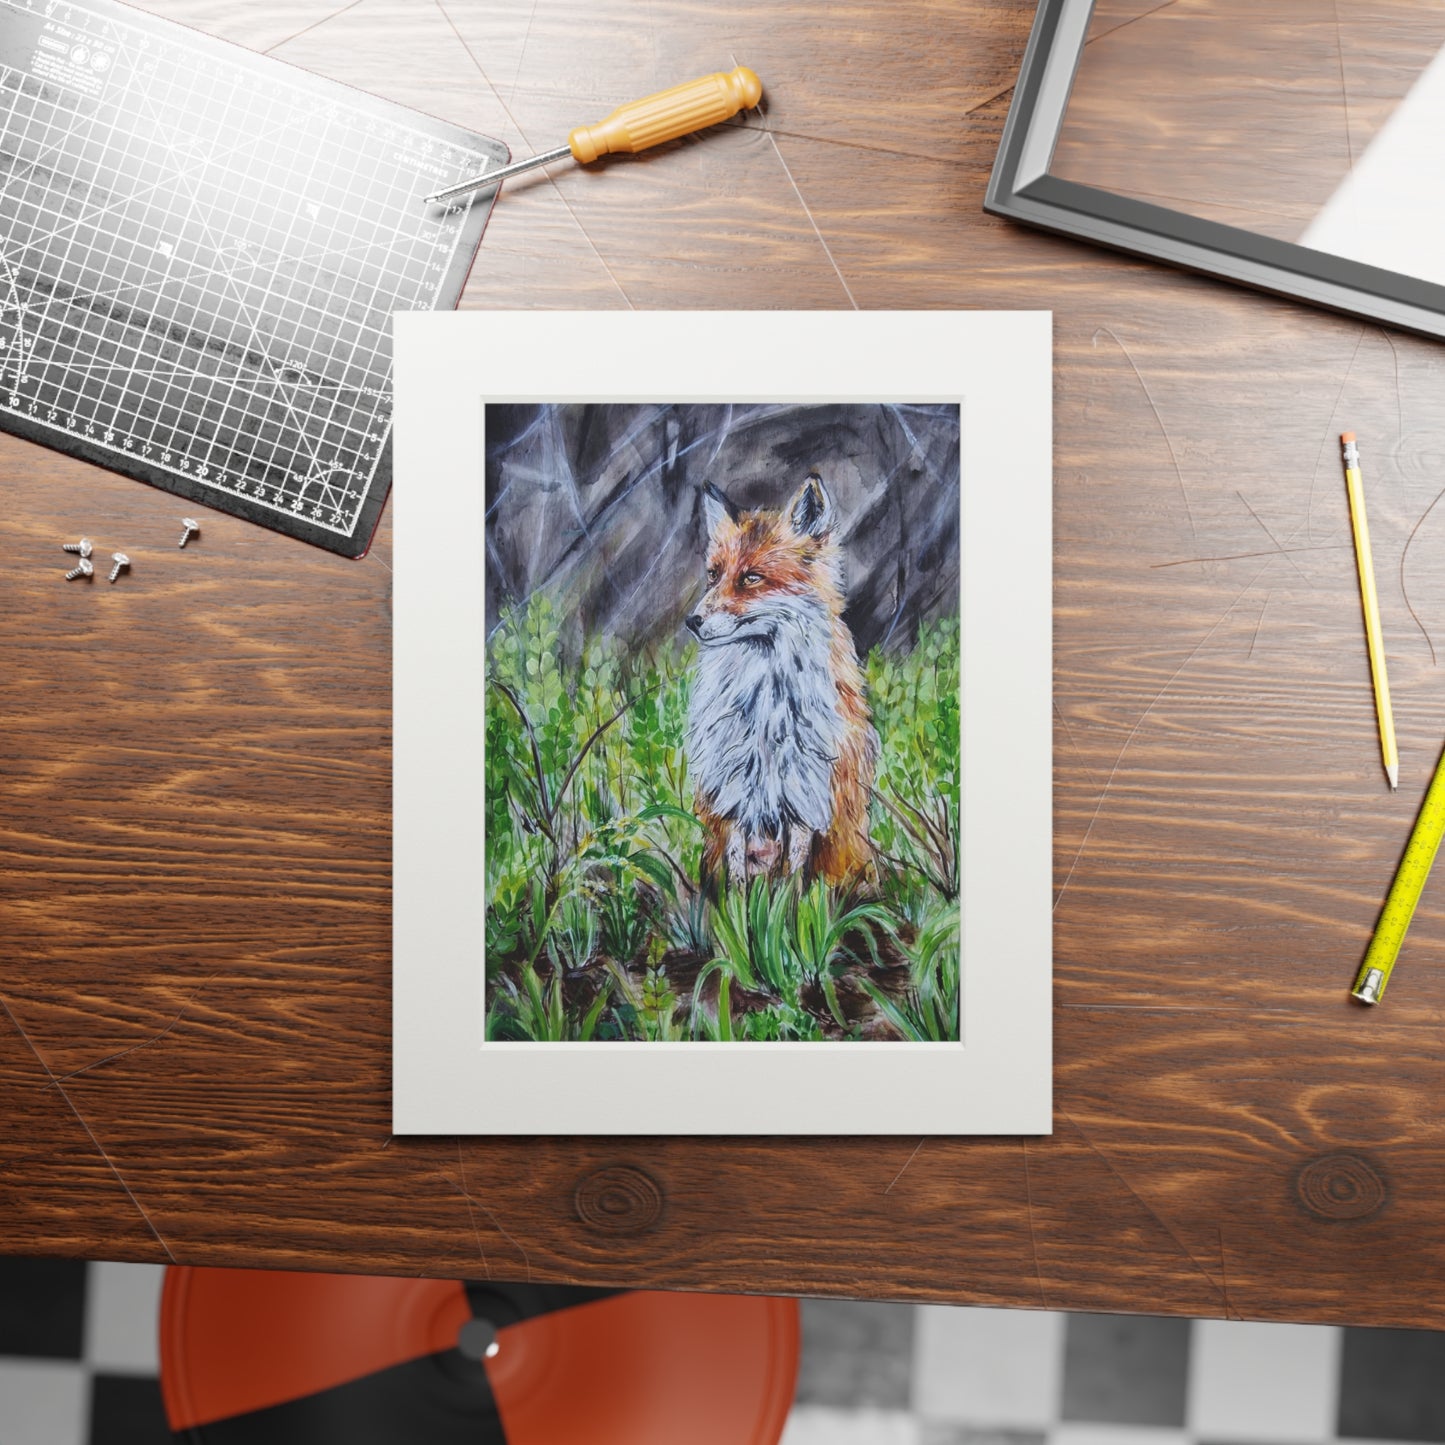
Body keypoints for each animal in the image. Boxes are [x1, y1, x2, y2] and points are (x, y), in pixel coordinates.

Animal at [684, 472, 878, 889]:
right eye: (713, 574)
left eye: (751, 578)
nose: (692, 621)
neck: (766, 706)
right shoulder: (733, 798)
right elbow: (738, 885)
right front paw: (740, 909)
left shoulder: (806, 798)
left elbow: (792, 884)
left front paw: (788, 907)